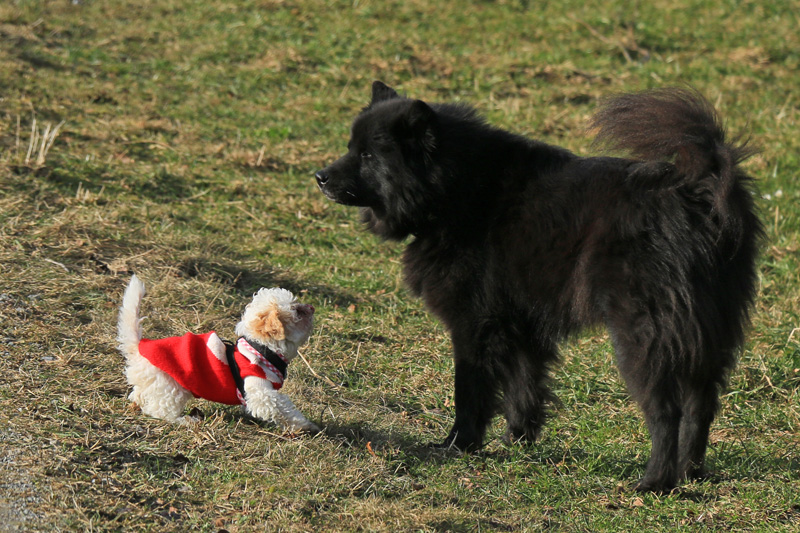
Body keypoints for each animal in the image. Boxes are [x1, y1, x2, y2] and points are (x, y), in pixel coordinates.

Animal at [117, 274, 320, 432]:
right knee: (160, 411)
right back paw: (186, 421)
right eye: (298, 311)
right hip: (171, 387)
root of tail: (139, 346)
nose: (312, 307)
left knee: (139, 396)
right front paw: (306, 426)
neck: (261, 349)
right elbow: (284, 408)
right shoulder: (260, 392)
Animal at [314, 80, 764, 490]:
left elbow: (470, 391)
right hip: (707, 333)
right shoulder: (519, 322)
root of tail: (698, 191)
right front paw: (517, 441)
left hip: (645, 332)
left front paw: (458, 445)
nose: (319, 176)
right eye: (351, 146)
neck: (453, 188)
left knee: (666, 411)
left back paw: (655, 482)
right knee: (701, 405)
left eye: (368, 154)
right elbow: (523, 386)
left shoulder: (474, 323)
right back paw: (691, 473)